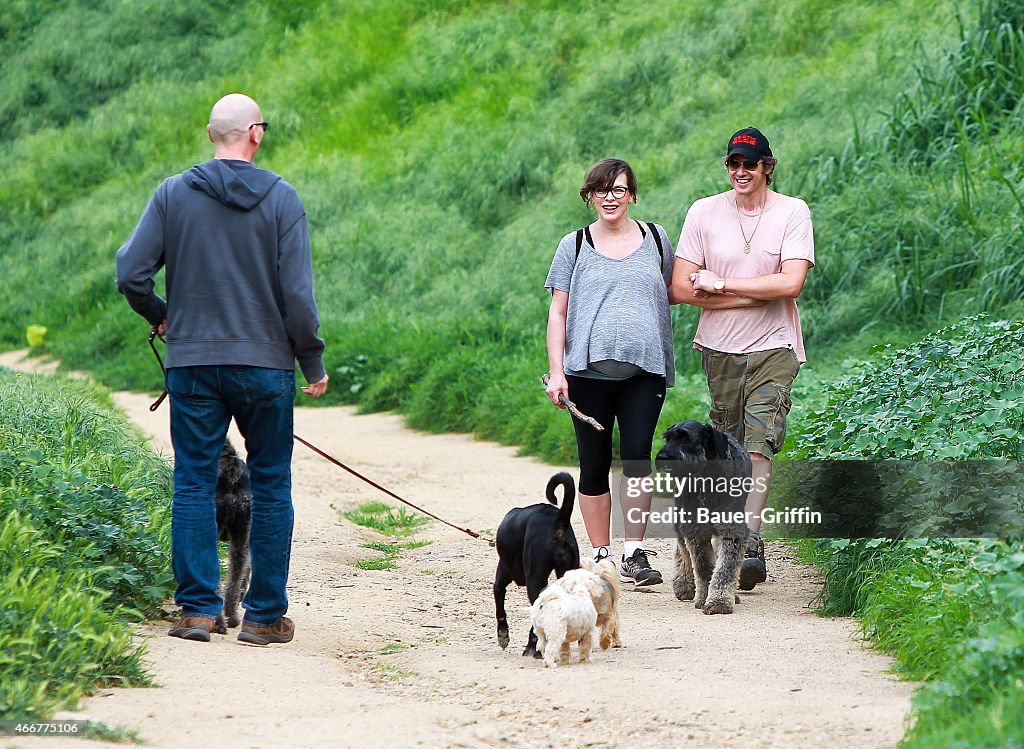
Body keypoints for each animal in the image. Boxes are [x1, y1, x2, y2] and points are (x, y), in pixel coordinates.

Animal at [493, 475, 581, 655]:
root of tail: (558, 519)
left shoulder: (502, 574)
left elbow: (499, 602)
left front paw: (503, 635)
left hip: (535, 579)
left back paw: (533, 648)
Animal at [655, 422, 753, 614]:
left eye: (686, 438)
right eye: (667, 438)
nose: (663, 457)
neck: (706, 483)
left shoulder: (732, 531)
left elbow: (725, 568)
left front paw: (719, 601)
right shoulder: (695, 530)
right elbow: (703, 567)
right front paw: (705, 596)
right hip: (681, 520)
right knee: (681, 549)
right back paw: (683, 583)